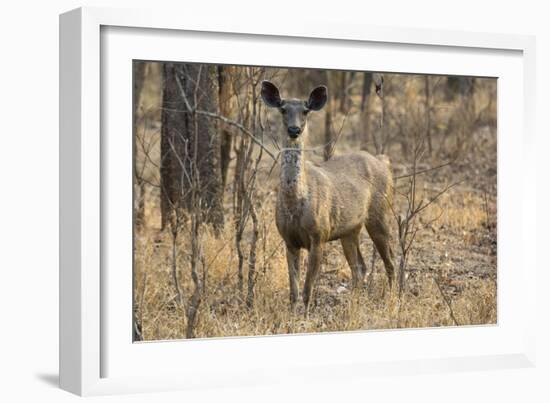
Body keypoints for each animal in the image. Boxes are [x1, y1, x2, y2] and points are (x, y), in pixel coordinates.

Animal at [264, 79, 396, 312]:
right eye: (283, 109)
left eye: (305, 110)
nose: (294, 129)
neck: (296, 205)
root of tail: (384, 161)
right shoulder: (288, 240)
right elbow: (293, 292)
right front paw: (291, 315)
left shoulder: (319, 236)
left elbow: (307, 290)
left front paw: (306, 315)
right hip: (350, 230)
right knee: (359, 268)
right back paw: (355, 304)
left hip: (380, 213)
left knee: (391, 263)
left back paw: (393, 300)